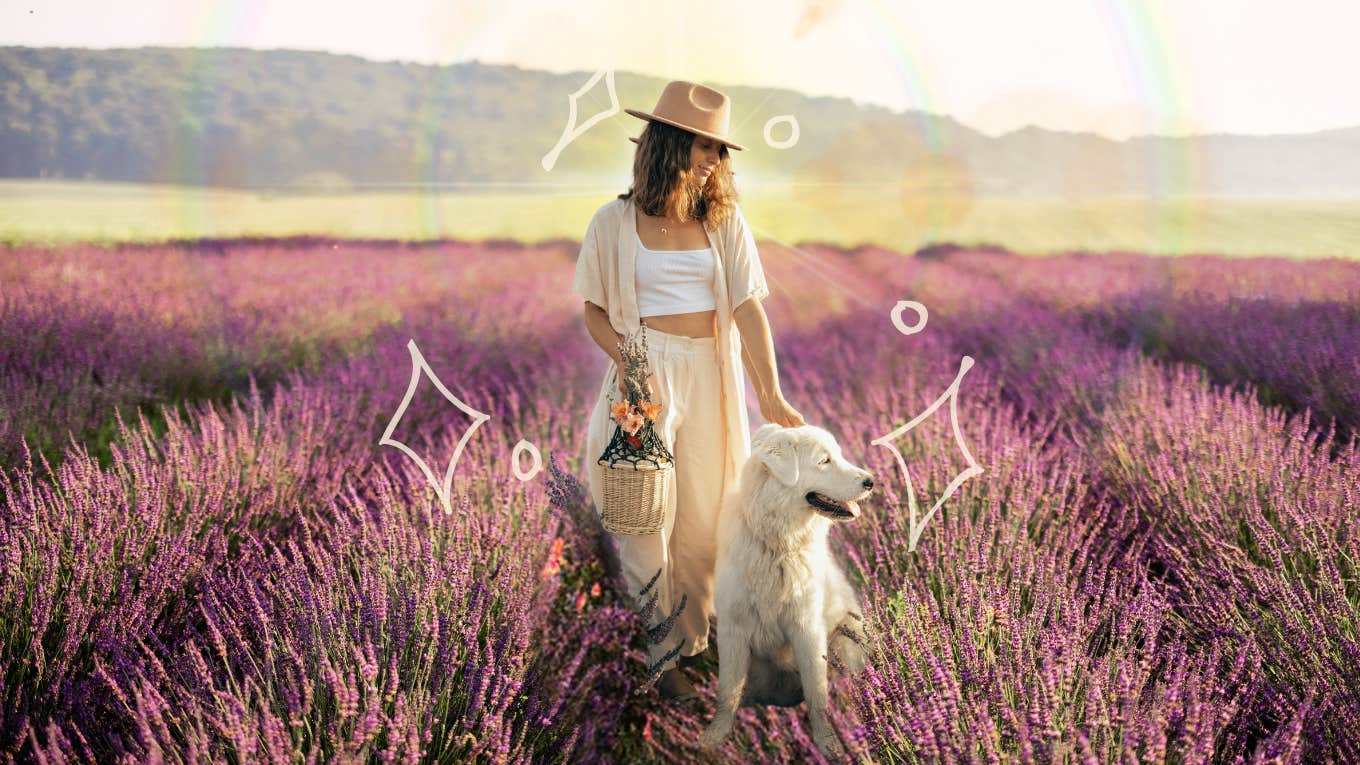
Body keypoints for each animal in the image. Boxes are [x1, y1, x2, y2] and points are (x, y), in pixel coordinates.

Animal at [696, 421, 875, 756]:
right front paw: (716, 735)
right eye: (824, 461)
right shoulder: (733, 629)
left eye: (839, 455)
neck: (778, 545)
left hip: (846, 644)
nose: (871, 481)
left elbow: (818, 694)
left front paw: (827, 742)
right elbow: (727, 691)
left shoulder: (807, 628)